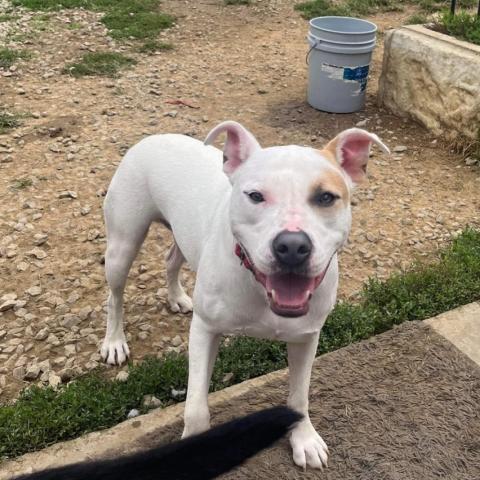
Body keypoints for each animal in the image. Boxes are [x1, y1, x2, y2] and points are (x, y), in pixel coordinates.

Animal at [101, 120, 390, 468]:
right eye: (255, 196)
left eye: (325, 197)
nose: (292, 246)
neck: (260, 287)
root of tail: (157, 137)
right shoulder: (205, 330)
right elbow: (195, 407)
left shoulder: (306, 338)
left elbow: (299, 396)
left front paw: (304, 439)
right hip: (123, 245)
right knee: (115, 296)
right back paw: (114, 342)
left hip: (182, 236)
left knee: (171, 259)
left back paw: (176, 297)